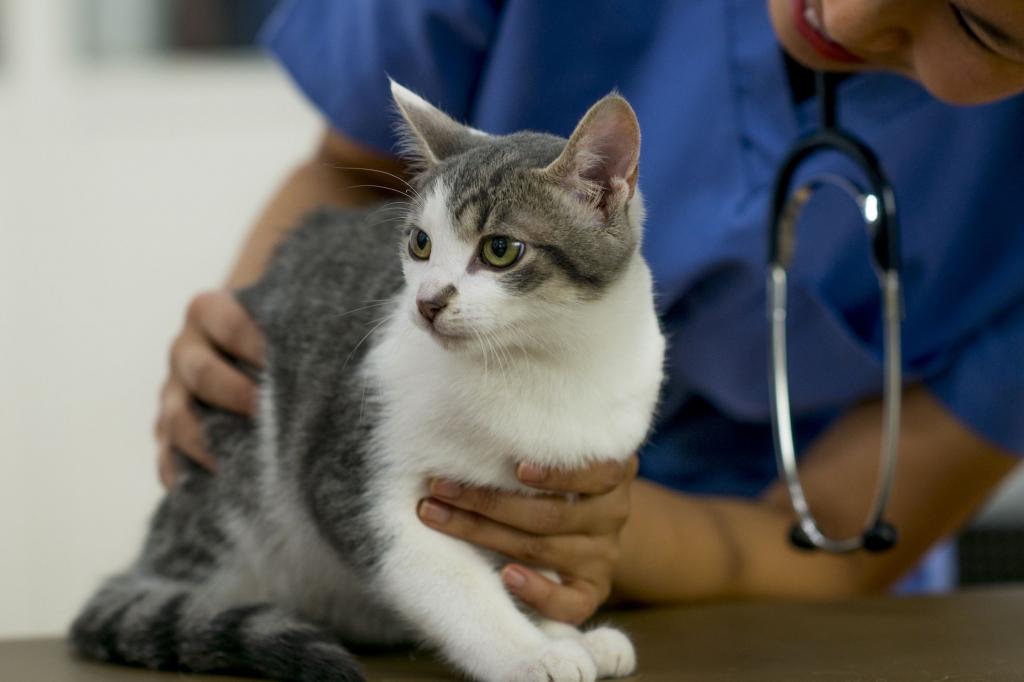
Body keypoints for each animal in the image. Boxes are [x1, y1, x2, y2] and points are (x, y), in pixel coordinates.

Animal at [70, 80, 663, 679]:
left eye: (500, 249)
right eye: (420, 244)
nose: (427, 302)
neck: (545, 363)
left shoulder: (552, 495)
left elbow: (538, 569)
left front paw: (563, 630)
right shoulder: (353, 476)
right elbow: (450, 581)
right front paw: (531, 652)